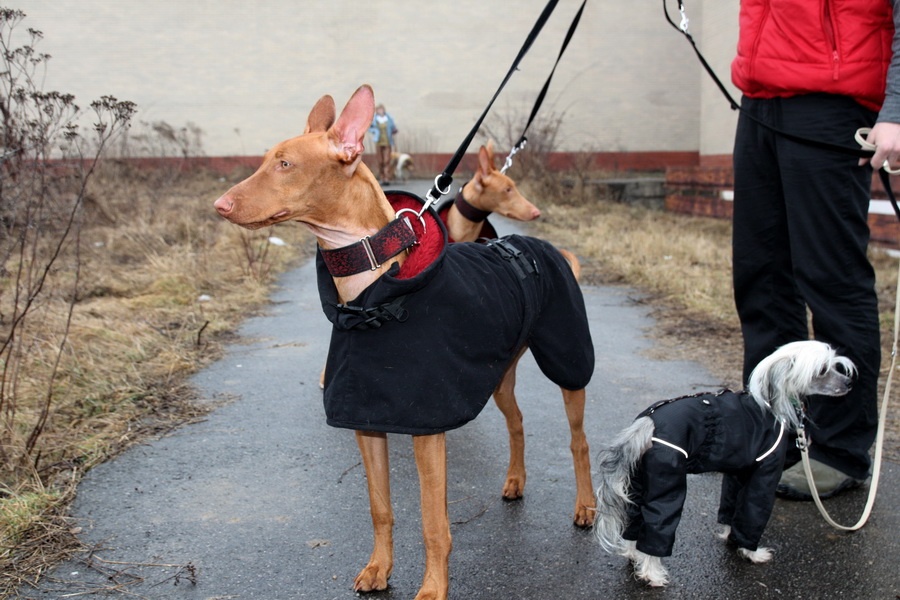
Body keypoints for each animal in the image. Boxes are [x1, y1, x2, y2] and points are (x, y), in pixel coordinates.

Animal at [596, 340, 856, 588]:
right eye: (822, 370)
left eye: (834, 366)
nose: (849, 384)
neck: (768, 402)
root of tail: (646, 425)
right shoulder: (764, 475)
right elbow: (751, 515)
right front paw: (751, 552)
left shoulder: (737, 474)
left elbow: (732, 509)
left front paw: (731, 537)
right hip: (667, 484)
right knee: (656, 530)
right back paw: (652, 575)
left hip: (639, 483)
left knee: (635, 523)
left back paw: (634, 556)